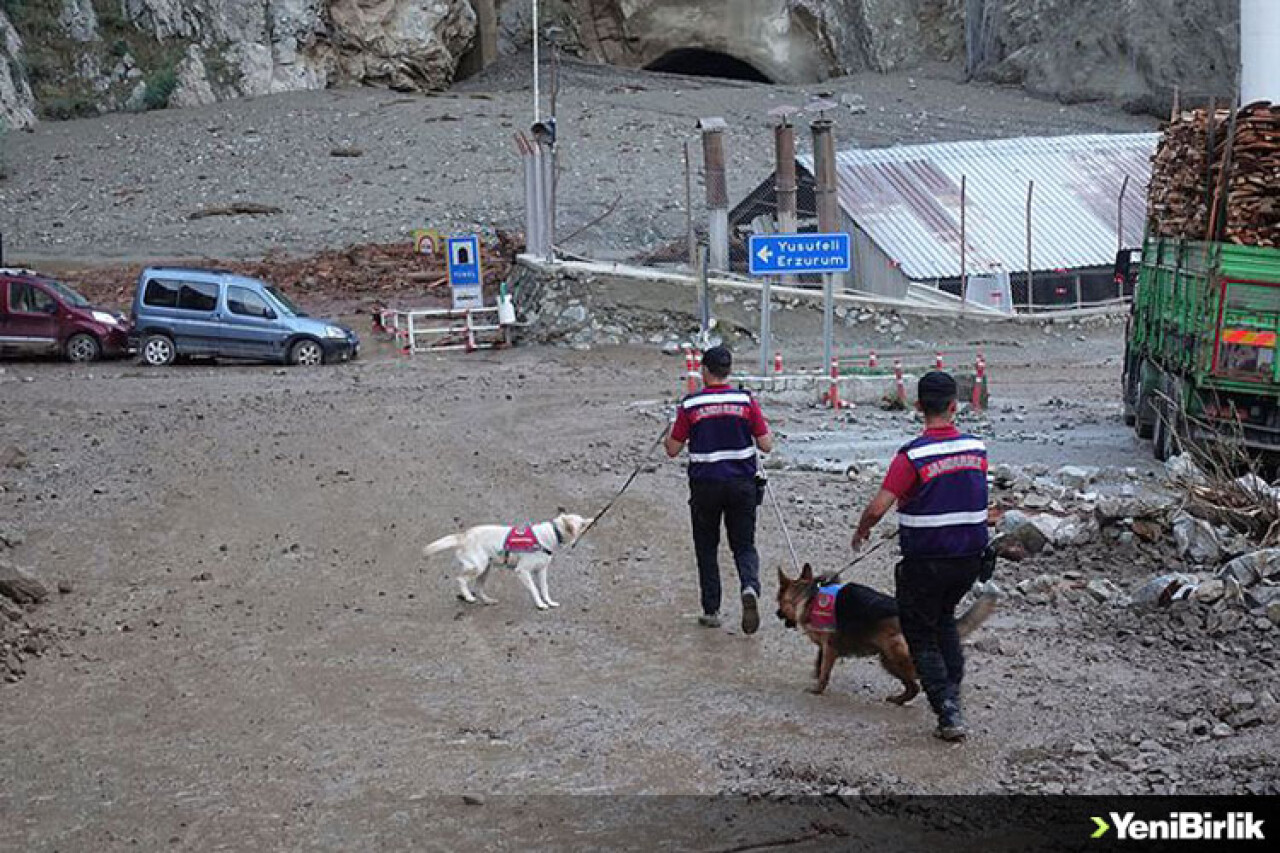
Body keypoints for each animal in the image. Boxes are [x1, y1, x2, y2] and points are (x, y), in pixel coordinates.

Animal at [424, 512, 593, 604]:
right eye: (582, 524)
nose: (591, 521)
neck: (553, 533)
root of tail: (463, 536)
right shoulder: (523, 571)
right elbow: (535, 589)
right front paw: (540, 604)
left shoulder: (542, 571)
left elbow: (544, 589)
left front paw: (549, 602)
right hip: (479, 566)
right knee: (461, 579)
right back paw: (468, 597)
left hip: (485, 570)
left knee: (478, 588)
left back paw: (488, 600)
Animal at [768, 563, 998, 696]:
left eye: (779, 602)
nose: (776, 614)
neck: (807, 595)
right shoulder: (826, 648)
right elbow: (819, 661)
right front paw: (816, 674)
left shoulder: (830, 648)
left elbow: (824, 670)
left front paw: (818, 688)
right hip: (888, 659)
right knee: (914, 686)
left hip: (893, 656)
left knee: (918, 682)